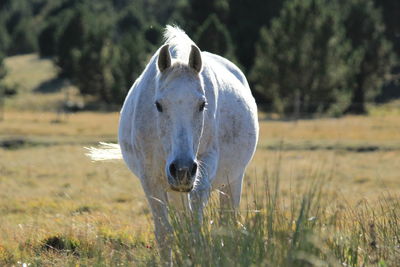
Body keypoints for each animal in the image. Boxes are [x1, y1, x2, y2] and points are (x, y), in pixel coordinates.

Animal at [87, 25, 258, 264]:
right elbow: (165, 233)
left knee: (228, 220)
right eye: (158, 105)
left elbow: (195, 226)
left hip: (233, 179)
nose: (183, 169)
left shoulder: (205, 169)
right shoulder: (150, 179)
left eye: (202, 104)